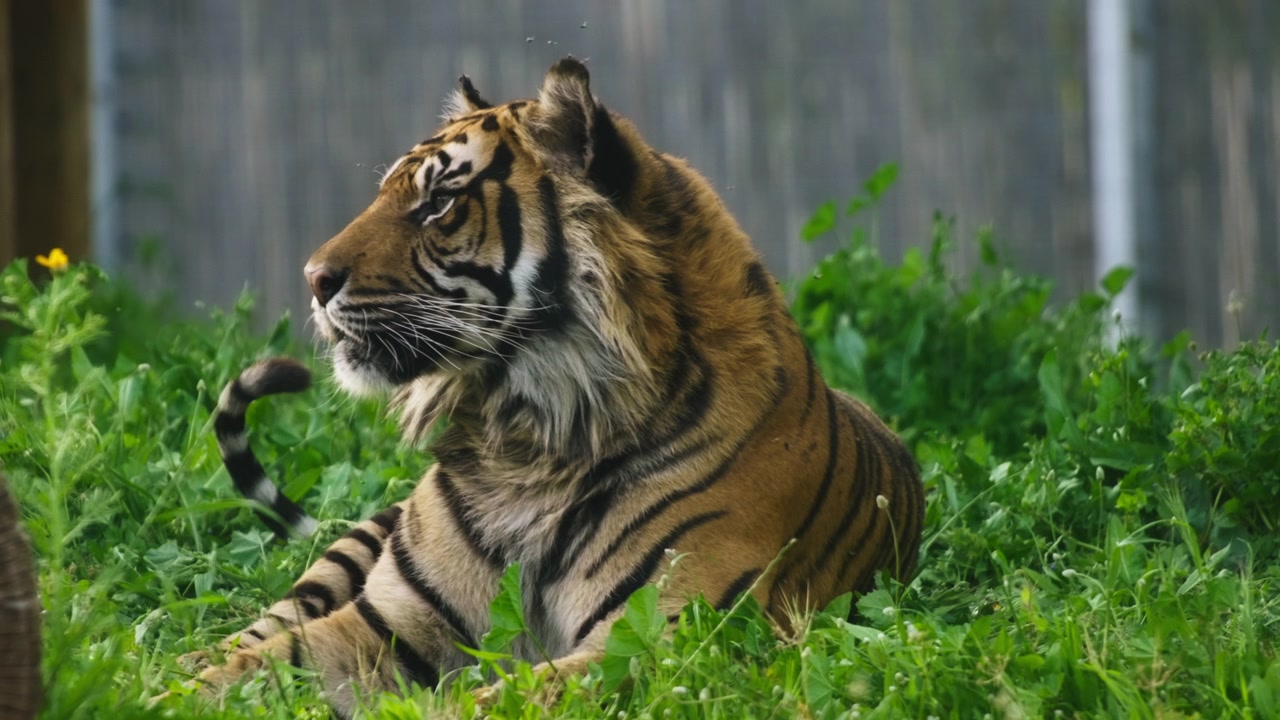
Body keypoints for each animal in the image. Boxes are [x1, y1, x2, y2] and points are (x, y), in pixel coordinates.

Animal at [189, 57, 925, 716]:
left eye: (440, 202)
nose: (312, 279)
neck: (527, 440)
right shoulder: (387, 622)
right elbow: (251, 670)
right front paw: (177, 688)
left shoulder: (668, 642)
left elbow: (490, 704)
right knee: (257, 627)